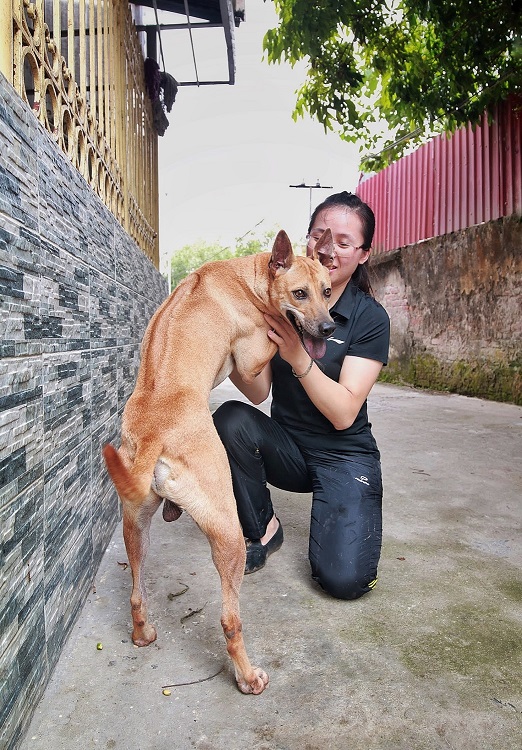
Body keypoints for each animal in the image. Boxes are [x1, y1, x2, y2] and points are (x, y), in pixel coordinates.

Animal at [103, 231, 336, 700]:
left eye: (326, 291)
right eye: (300, 294)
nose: (328, 329)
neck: (247, 276)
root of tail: (154, 431)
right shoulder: (252, 355)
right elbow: (276, 338)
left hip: (135, 525)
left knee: (137, 593)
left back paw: (143, 633)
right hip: (228, 532)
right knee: (230, 620)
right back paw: (247, 677)